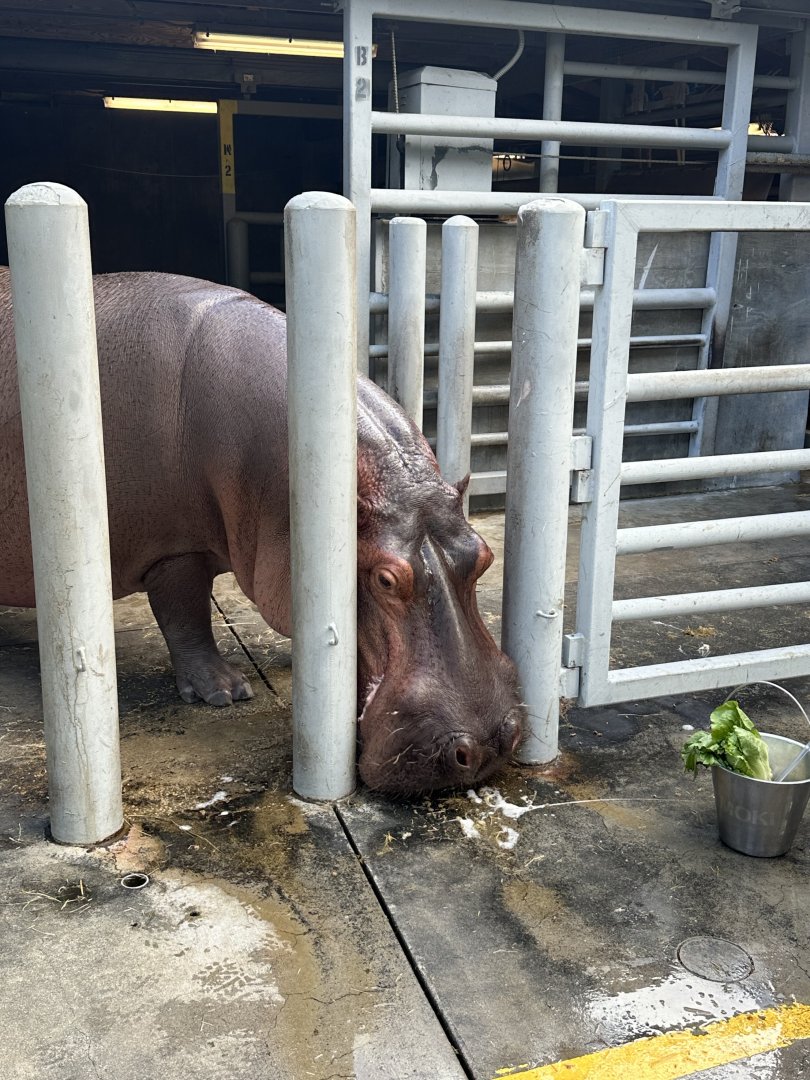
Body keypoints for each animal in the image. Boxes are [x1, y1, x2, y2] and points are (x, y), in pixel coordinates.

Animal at [0, 269, 524, 793]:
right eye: (385, 580)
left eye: (484, 555)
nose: (489, 744)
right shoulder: (176, 549)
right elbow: (186, 614)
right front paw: (227, 691)